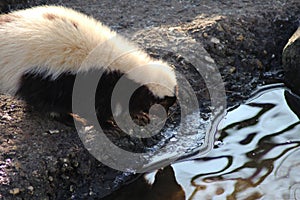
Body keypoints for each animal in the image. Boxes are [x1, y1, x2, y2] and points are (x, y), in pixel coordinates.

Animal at [0, 5, 177, 125]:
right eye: (163, 103)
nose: (166, 116)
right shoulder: (101, 84)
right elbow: (102, 108)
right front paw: (111, 123)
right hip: (42, 75)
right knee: (46, 102)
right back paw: (66, 118)